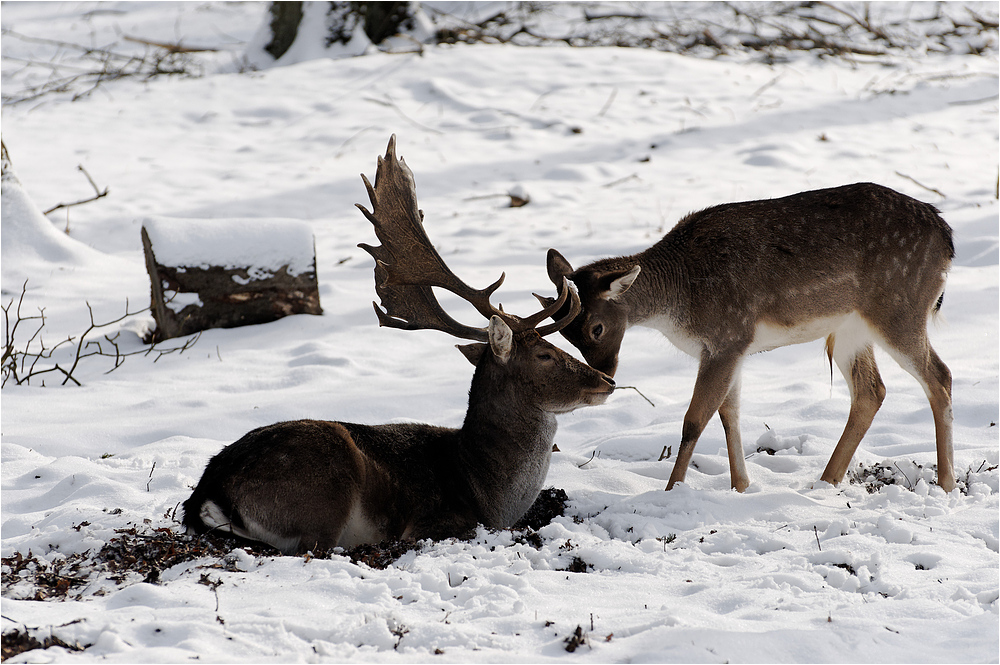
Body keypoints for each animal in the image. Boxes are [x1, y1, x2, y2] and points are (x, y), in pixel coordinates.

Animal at [183, 137, 612, 552]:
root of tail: (207, 491)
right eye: (545, 354)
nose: (607, 381)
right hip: (323, 491)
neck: (487, 493)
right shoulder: (432, 522)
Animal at [544, 182, 956, 492]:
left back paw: (947, 483)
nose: (607, 376)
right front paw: (741, 486)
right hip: (850, 329)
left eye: (596, 328)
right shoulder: (730, 349)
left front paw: (671, 490)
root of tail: (947, 236)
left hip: (900, 307)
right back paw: (826, 481)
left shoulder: (728, 335)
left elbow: (694, 419)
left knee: (940, 376)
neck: (678, 295)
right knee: (872, 390)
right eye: (567, 334)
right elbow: (729, 414)